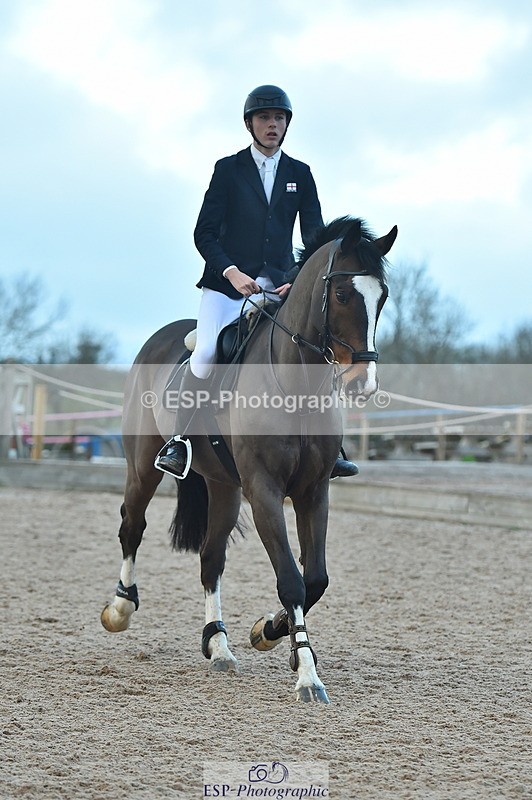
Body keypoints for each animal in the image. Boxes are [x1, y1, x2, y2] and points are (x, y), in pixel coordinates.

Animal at [101, 216, 397, 703]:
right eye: (341, 294)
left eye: (383, 296)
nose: (363, 383)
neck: (298, 386)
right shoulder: (264, 491)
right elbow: (292, 578)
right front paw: (308, 676)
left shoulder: (314, 492)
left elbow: (314, 579)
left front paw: (270, 631)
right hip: (144, 465)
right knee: (133, 526)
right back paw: (120, 609)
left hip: (223, 486)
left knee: (211, 557)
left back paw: (218, 646)